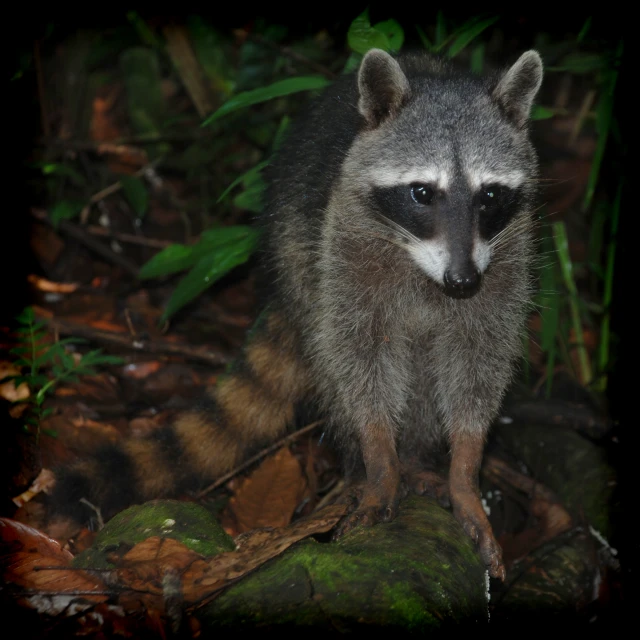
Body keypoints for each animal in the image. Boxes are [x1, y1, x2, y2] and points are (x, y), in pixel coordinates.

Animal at [48, 48, 540, 580]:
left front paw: (463, 474)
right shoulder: (346, 240)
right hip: (299, 259)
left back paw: (418, 458)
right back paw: (364, 464)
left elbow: (477, 363)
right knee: (331, 355)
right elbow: (359, 360)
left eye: (489, 195)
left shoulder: (507, 257)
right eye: (423, 193)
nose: (462, 283)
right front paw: (378, 460)